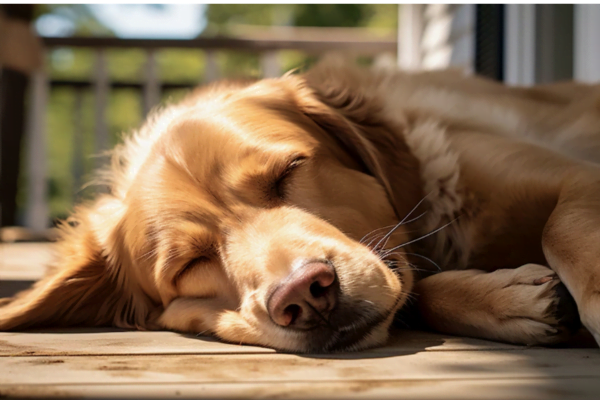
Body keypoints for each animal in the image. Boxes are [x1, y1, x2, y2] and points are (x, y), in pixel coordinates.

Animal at [1, 61, 600, 352]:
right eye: (190, 264)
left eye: (288, 171)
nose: (305, 297)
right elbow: (421, 288)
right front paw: (510, 300)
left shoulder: (577, 175)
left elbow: (562, 229)